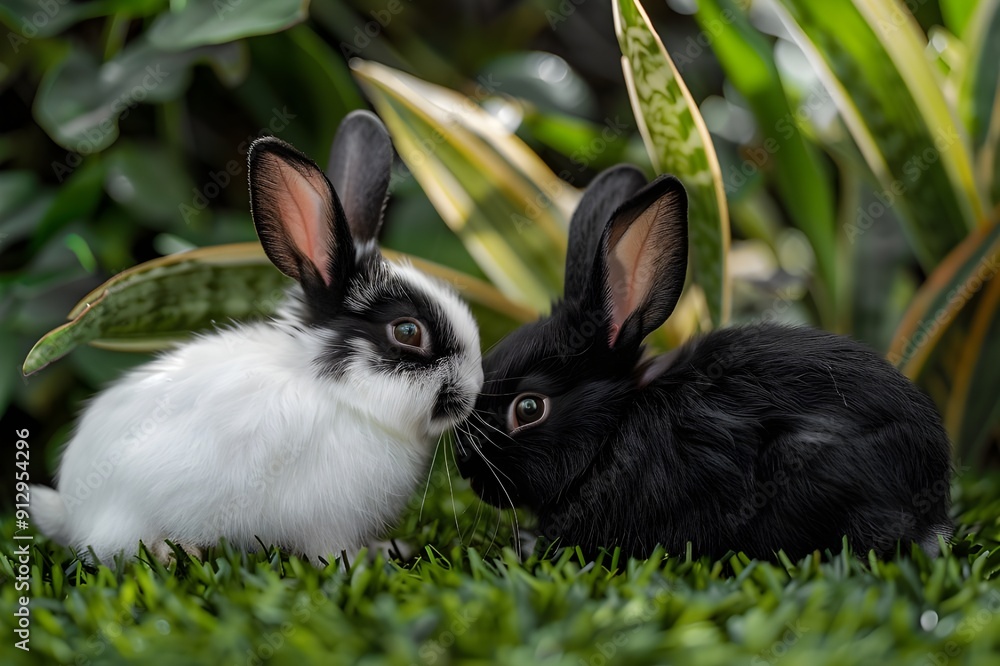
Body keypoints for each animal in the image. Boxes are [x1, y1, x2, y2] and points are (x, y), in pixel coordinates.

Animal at [30, 111, 484, 566]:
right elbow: (332, 553)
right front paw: (363, 563)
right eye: (408, 331)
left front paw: (387, 550)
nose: (474, 389)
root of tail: (73, 510)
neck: (344, 397)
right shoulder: (325, 521)